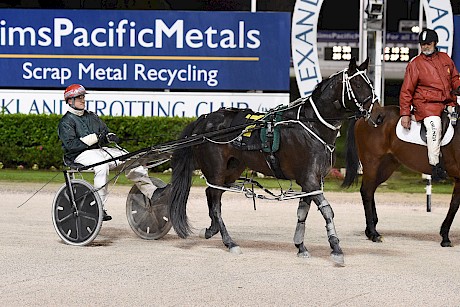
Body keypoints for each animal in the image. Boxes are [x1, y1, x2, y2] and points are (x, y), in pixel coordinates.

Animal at [169, 58, 378, 268]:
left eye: (370, 83)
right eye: (358, 84)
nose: (377, 113)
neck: (311, 124)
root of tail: (204, 120)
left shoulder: (311, 182)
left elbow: (302, 212)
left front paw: (301, 247)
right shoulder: (310, 180)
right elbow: (327, 211)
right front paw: (336, 249)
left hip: (232, 169)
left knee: (211, 194)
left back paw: (212, 229)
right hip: (217, 170)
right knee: (215, 202)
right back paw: (230, 242)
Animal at [344, 104, 458, 248]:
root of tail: (366, 116)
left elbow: (454, 205)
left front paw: (445, 236)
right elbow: (454, 206)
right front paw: (445, 237)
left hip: (386, 166)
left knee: (371, 189)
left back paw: (371, 229)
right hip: (372, 162)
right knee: (367, 191)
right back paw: (373, 233)